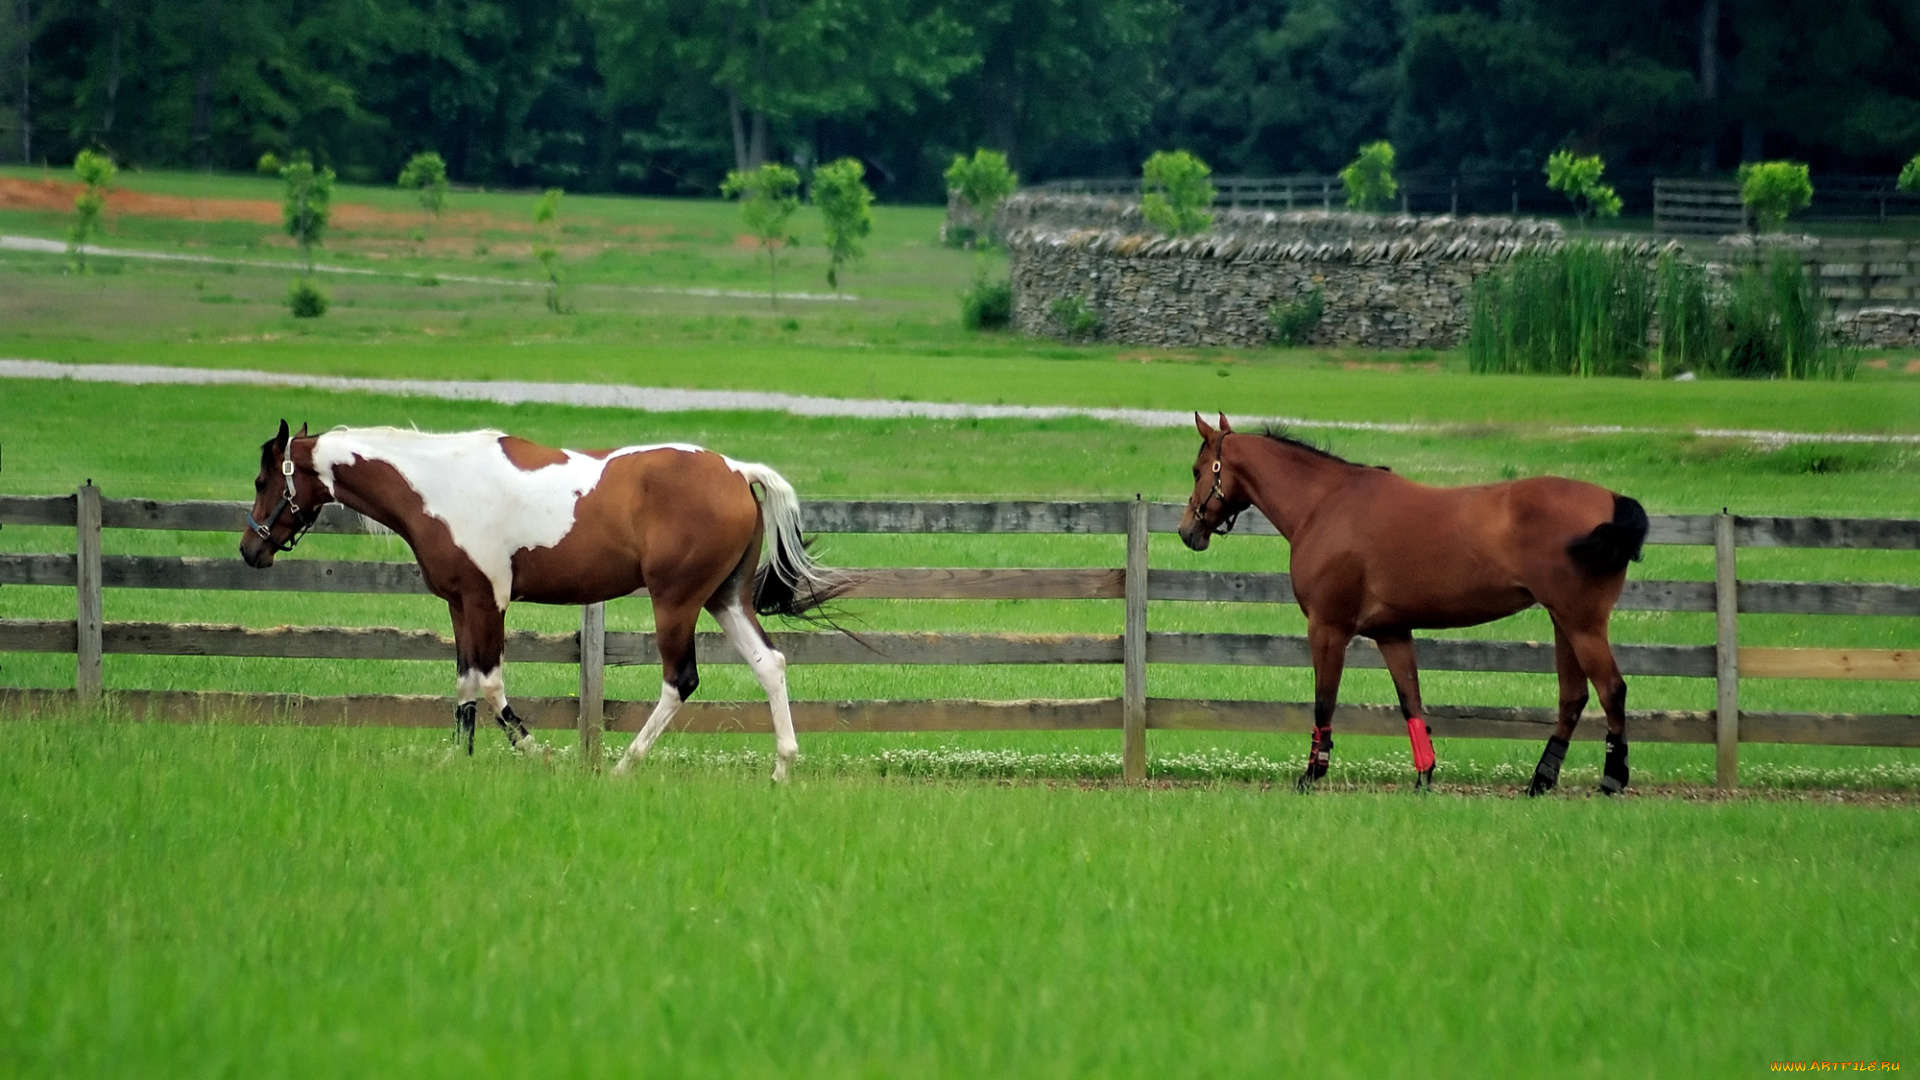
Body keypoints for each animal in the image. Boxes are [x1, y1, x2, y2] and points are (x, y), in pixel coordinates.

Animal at [236, 417, 844, 776]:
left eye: (264, 480)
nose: (249, 549)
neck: (441, 485)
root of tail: (736, 470)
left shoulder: (488, 601)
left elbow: (489, 683)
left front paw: (539, 753)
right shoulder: (460, 604)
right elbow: (465, 683)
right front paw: (459, 760)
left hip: (676, 602)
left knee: (681, 681)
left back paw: (621, 767)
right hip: (724, 598)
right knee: (770, 664)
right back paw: (782, 768)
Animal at [1167, 411, 1651, 791]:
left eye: (1196, 470)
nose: (1187, 531)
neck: (1325, 504)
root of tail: (1611, 499)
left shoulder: (1328, 628)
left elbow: (1325, 700)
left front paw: (1312, 773)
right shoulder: (1393, 633)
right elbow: (1411, 702)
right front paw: (1425, 776)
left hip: (1582, 624)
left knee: (1612, 690)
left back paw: (1612, 779)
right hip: (1563, 623)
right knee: (1573, 697)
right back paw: (1541, 780)